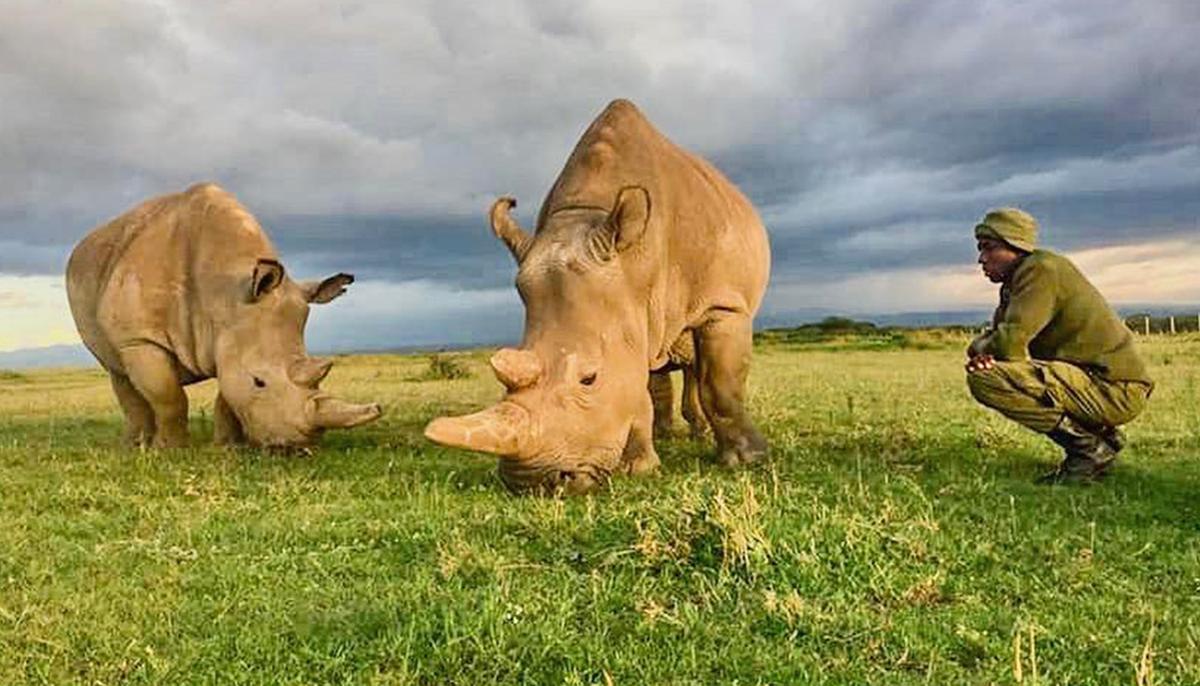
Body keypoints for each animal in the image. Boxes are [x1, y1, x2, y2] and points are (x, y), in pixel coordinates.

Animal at [66, 183, 382, 449]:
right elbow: (168, 396)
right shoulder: (139, 338)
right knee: (117, 371)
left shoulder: (233, 332)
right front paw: (170, 450)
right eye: (259, 381)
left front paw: (228, 447)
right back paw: (134, 446)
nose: (293, 447)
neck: (225, 293)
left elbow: (228, 394)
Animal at [425, 99, 770, 494]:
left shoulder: (723, 303)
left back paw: (699, 435)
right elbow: (635, 389)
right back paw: (667, 435)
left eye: (589, 379)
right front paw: (639, 468)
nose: (534, 482)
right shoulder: (630, 307)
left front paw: (746, 461)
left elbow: (722, 383)